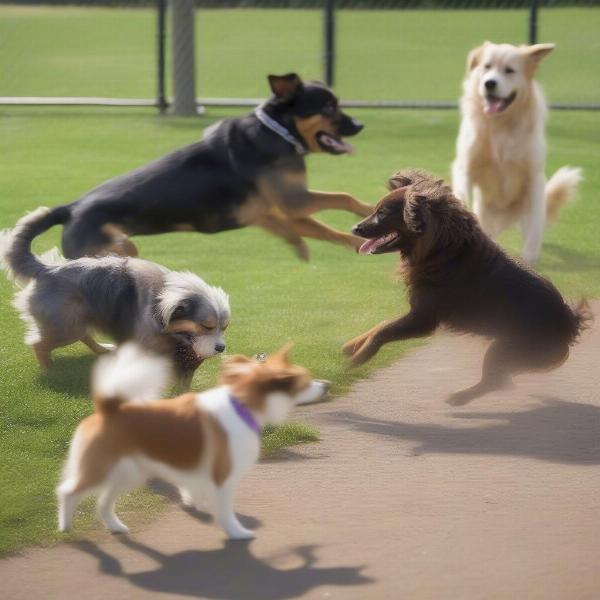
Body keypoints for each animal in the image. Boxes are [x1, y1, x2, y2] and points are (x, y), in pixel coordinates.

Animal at [0, 206, 230, 384]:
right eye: (206, 326)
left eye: (224, 328)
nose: (221, 348)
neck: (162, 303)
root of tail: (47, 270)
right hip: (66, 327)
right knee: (39, 344)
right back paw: (50, 369)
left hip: (77, 319)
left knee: (85, 335)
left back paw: (103, 349)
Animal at [39, 72, 368, 260]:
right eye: (328, 107)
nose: (359, 125)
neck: (276, 131)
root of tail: (70, 208)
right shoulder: (294, 201)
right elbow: (343, 197)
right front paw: (368, 208)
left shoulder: (279, 210)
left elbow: (324, 230)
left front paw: (356, 240)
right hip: (118, 247)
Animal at [57, 342, 328, 540]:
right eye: (305, 381)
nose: (326, 385)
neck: (242, 405)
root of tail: (108, 408)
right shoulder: (224, 476)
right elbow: (225, 509)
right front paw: (236, 531)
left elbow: (194, 489)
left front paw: (197, 504)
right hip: (100, 469)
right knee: (67, 491)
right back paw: (65, 525)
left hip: (128, 473)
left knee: (103, 502)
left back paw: (116, 527)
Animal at [344, 166, 588, 406]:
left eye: (382, 213)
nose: (355, 228)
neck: (442, 250)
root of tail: (569, 323)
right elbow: (381, 325)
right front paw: (353, 345)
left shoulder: (423, 318)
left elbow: (384, 330)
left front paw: (360, 356)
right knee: (502, 380)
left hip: (505, 349)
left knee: (495, 381)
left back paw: (458, 398)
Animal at [454, 39, 580, 260]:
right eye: (487, 67)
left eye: (509, 71)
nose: (489, 83)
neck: (500, 126)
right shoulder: (465, 168)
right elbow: (461, 194)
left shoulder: (534, 179)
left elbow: (533, 236)